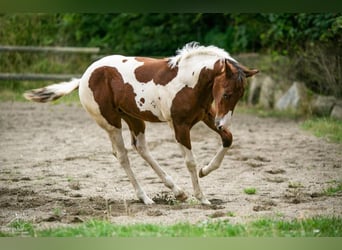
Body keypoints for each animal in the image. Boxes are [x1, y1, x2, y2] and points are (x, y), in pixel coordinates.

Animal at [24, 42, 258, 204]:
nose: (222, 123)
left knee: (140, 147)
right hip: (111, 123)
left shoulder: (205, 116)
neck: (188, 82)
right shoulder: (180, 126)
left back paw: (177, 192)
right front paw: (202, 197)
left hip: (134, 118)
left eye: (240, 95)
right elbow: (190, 162)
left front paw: (205, 170)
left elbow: (228, 139)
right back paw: (145, 197)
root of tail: (84, 77)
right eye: (226, 93)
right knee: (122, 156)